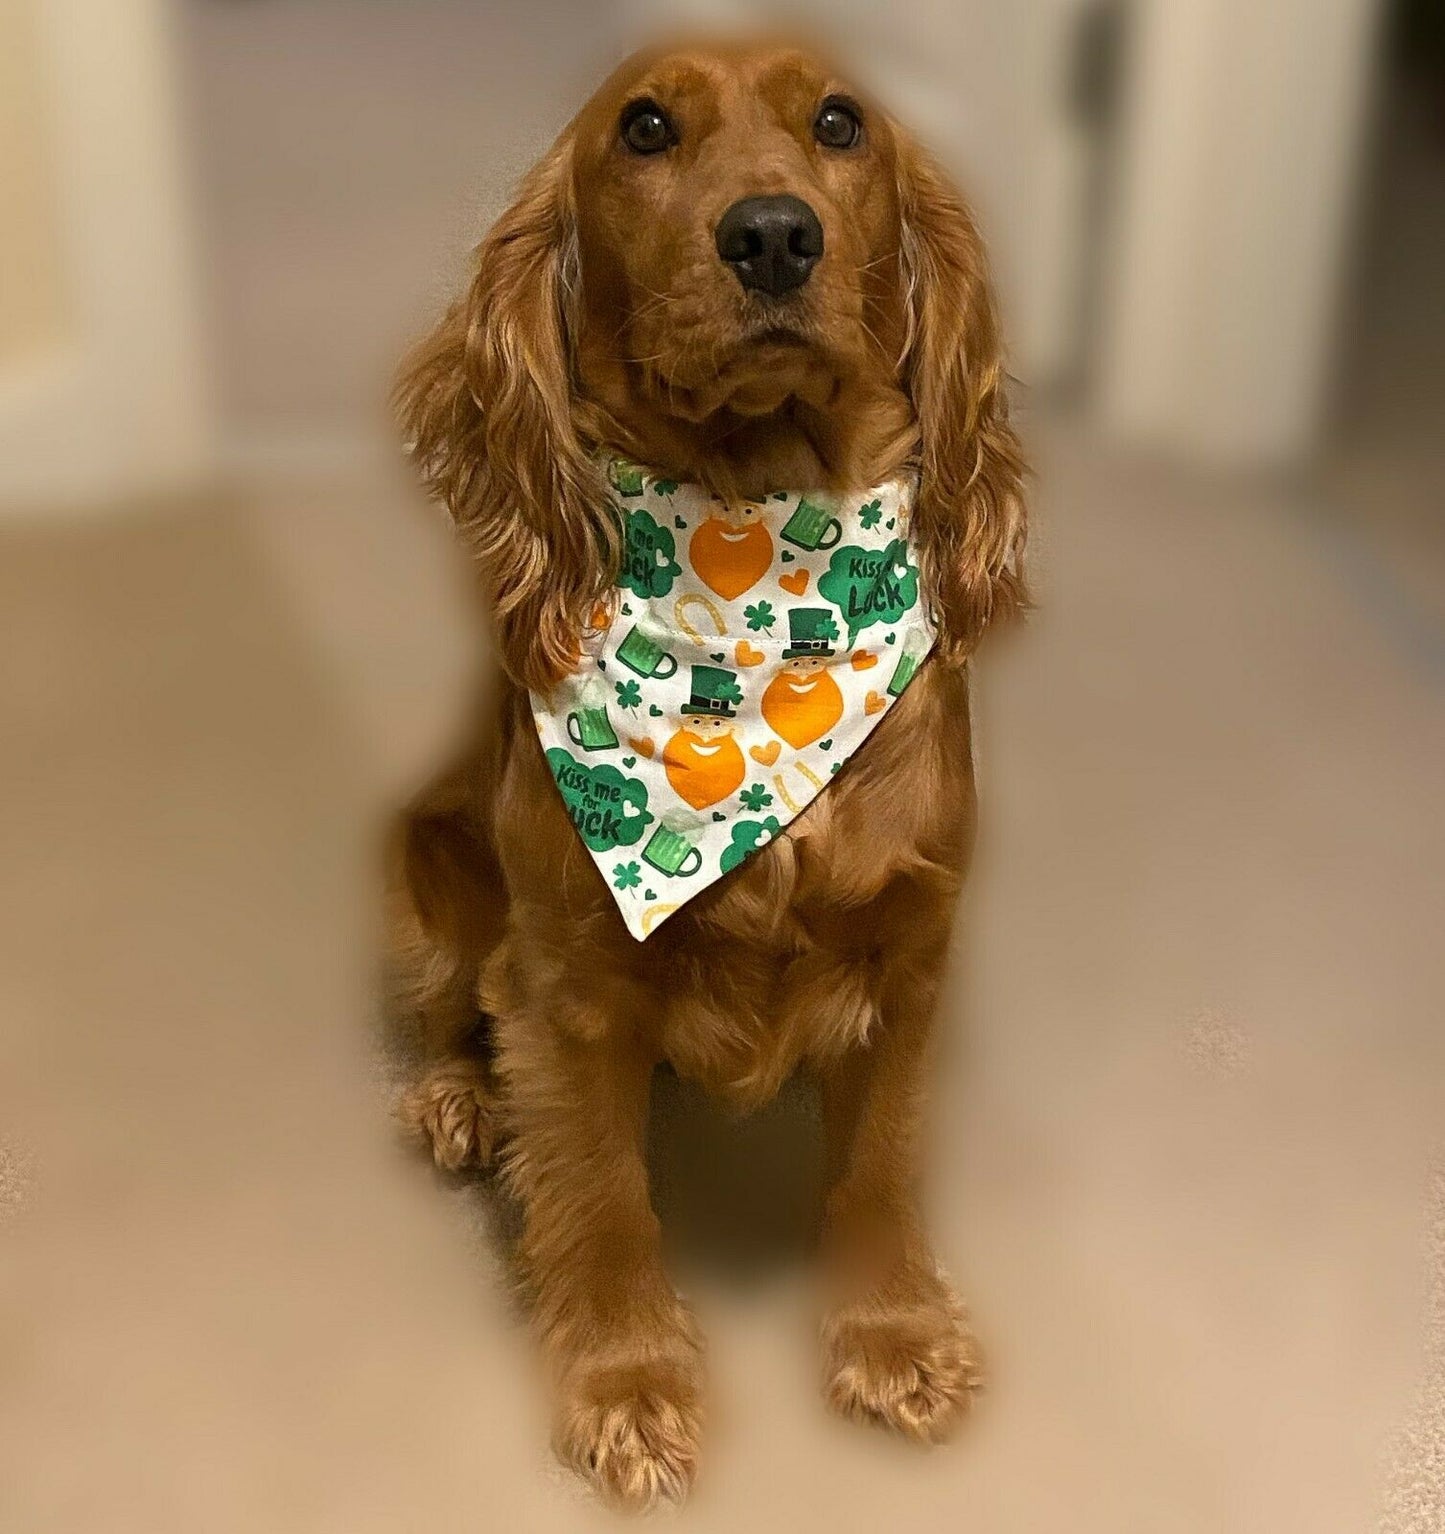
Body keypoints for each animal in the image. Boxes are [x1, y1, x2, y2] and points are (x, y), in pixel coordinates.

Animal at [392, 36, 1030, 1509]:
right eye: (643, 130)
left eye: (841, 125)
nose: (774, 234)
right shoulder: (565, 983)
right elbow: (602, 1195)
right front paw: (625, 1384)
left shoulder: (915, 948)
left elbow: (878, 1162)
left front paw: (891, 1335)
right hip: (433, 860)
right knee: (450, 1008)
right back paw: (457, 1095)